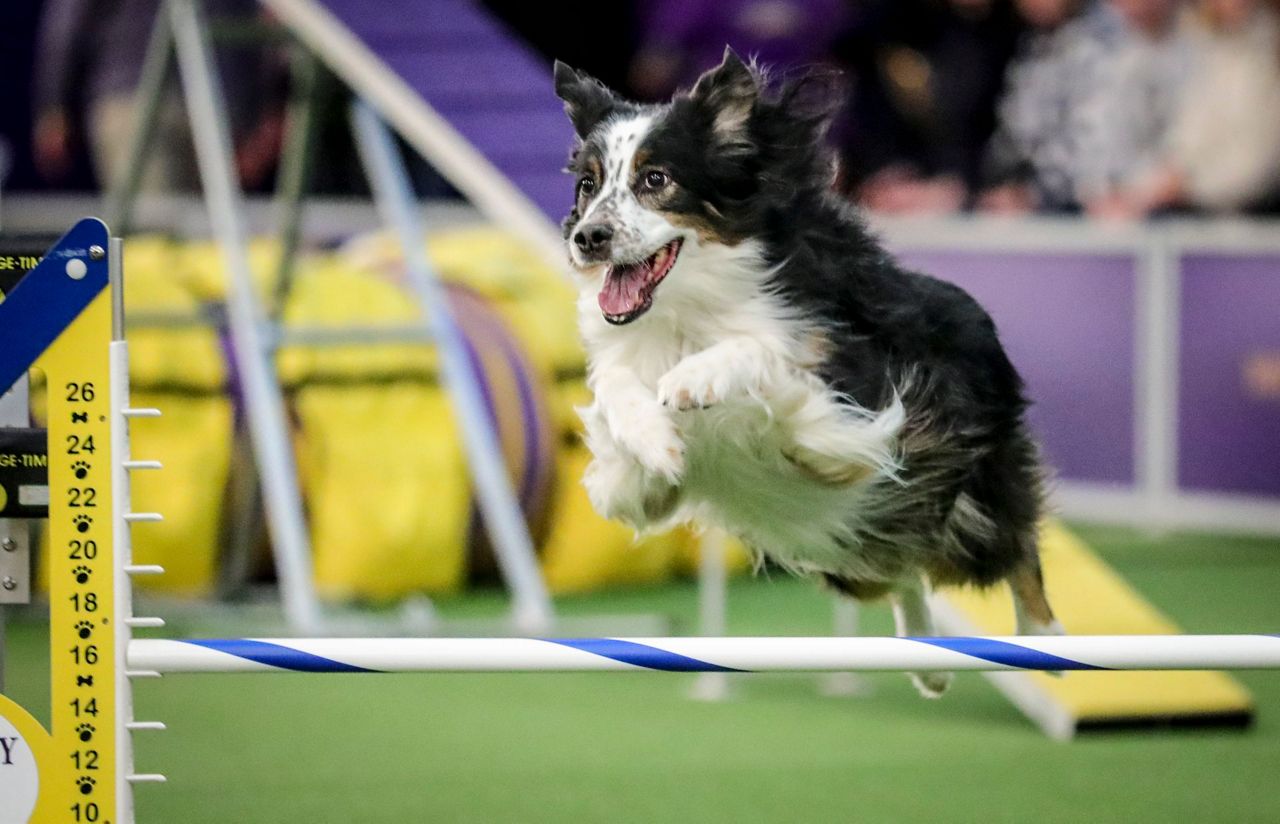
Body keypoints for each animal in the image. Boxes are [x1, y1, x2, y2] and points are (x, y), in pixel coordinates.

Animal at [555, 51, 1064, 696]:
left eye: (656, 179)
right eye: (588, 185)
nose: (587, 238)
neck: (686, 312)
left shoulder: (857, 417)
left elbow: (771, 354)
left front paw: (696, 380)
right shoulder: (634, 491)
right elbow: (618, 396)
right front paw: (659, 439)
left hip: (963, 495)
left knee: (1013, 543)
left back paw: (1045, 637)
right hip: (846, 551)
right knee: (899, 570)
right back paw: (928, 662)